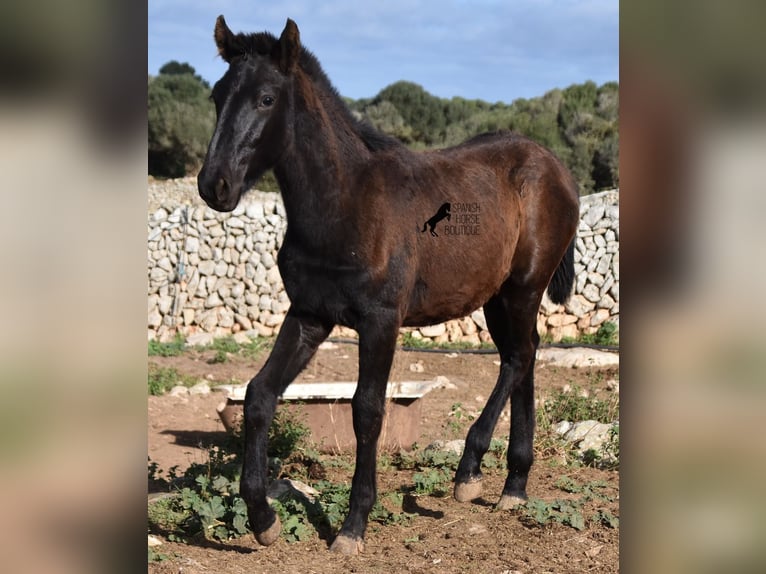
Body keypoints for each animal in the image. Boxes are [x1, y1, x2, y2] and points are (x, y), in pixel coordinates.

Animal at [195, 16, 580, 560]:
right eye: (217, 94)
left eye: (267, 98)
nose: (215, 185)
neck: (344, 205)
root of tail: (554, 165)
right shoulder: (309, 315)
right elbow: (259, 395)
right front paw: (263, 519)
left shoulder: (380, 321)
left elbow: (367, 410)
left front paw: (353, 526)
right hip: (498, 296)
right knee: (523, 355)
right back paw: (513, 484)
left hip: (524, 287)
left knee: (519, 357)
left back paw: (472, 472)